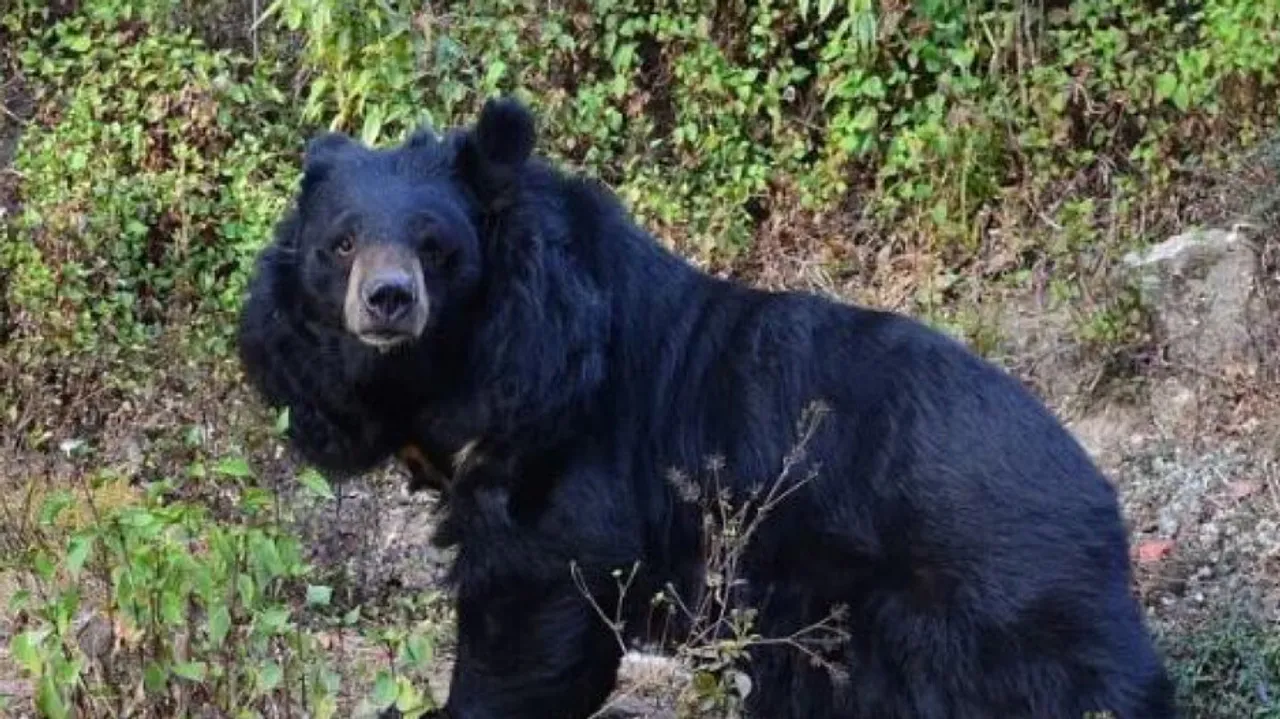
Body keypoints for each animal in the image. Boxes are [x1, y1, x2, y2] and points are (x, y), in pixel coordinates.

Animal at [236, 96, 1178, 719]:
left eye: (436, 247)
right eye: (340, 244)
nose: (389, 301)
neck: (465, 361)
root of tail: (1101, 500)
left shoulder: (568, 450)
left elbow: (531, 609)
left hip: (994, 607)